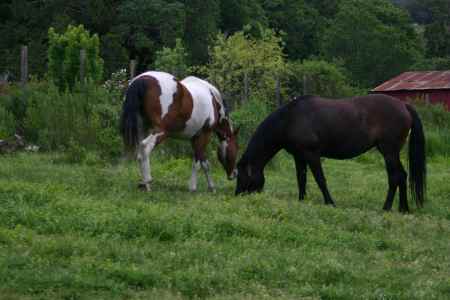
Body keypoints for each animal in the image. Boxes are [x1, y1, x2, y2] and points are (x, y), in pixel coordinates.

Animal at [234, 95, 428, 212]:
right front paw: (301, 200)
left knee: (395, 177)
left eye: (242, 176)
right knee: (402, 176)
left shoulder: (312, 154)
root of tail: (404, 105)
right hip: (391, 152)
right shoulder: (299, 156)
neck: (290, 119)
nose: (237, 195)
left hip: (389, 152)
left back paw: (386, 207)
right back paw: (403, 208)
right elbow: (301, 179)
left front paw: (330, 202)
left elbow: (320, 179)